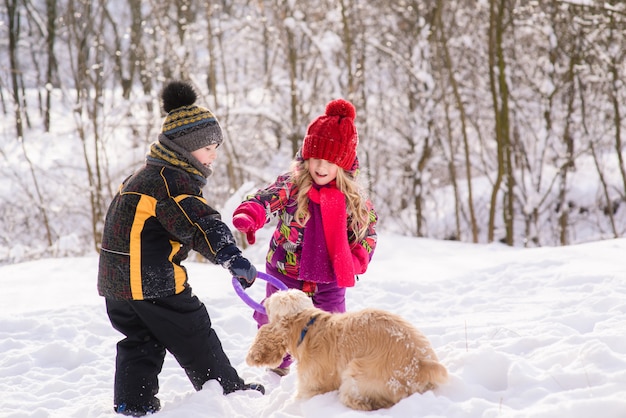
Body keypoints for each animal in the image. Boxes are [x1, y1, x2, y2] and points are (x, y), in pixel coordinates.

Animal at [244, 290, 444, 410]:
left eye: (271, 305)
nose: (265, 300)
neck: (307, 325)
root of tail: (423, 365)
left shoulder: (311, 385)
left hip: (356, 375)